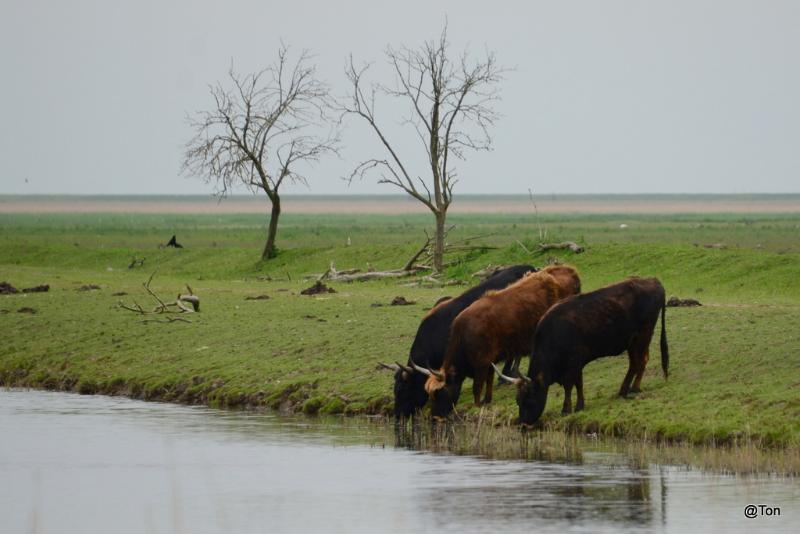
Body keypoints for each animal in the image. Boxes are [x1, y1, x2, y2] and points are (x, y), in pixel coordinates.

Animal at [416, 266, 580, 420]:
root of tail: (568, 270)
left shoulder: (481, 364)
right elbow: (489, 381)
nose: (434, 416)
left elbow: (477, 387)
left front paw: (477, 405)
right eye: (430, 395)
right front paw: (487, 400)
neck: (464, 336)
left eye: (439, 392)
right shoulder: (490, 361)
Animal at [496, 278, 672, 426]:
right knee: (637, 362)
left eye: (529, 398)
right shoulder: (576, 364)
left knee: (640, 361)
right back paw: (625, 389)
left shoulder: (572, 363)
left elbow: (569, 386)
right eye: (518, 400)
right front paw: (580, 405)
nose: (523, 423)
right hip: (633, 342)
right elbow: (578, 383)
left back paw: (633, 388)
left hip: (643, 336)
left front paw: (566, 409)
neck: (554, 333)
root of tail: (653, 280)